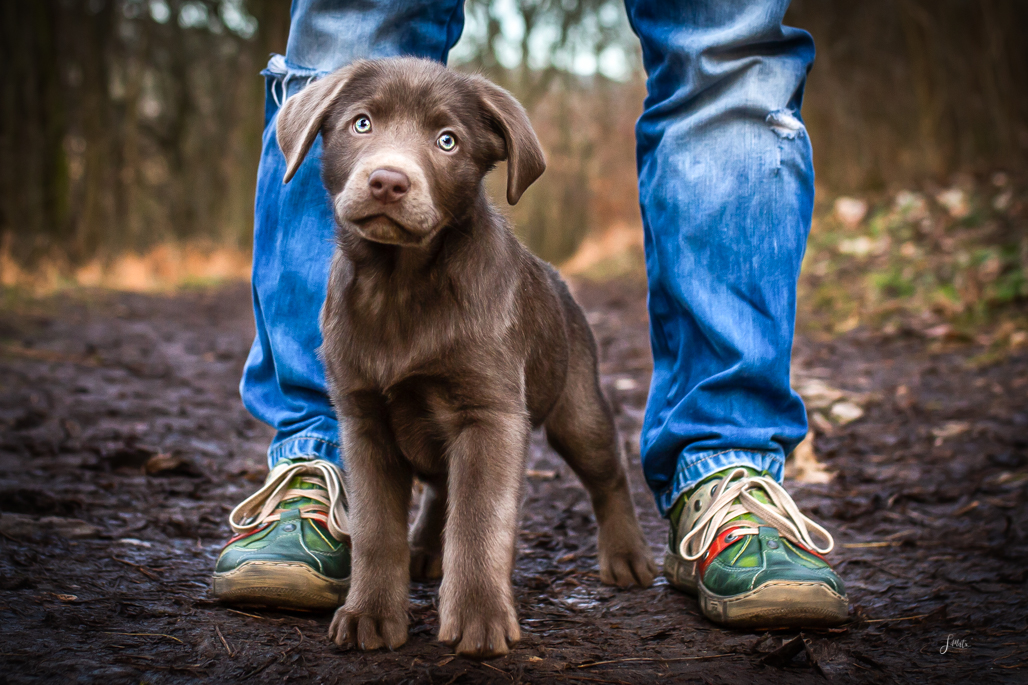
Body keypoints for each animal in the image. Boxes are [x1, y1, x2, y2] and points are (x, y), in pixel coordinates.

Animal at [277, 58, 653, 658]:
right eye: (362, 124)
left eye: (447, 141)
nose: (388, 181)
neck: (399, 285)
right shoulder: (362, 419)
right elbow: (376, 530)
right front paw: (369, 614)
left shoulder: (490, 415)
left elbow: (478, 521)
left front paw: (479, 618)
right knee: (438, 489)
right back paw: (424, 551)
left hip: (577, 406)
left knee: (608, 470)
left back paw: (627, 556)